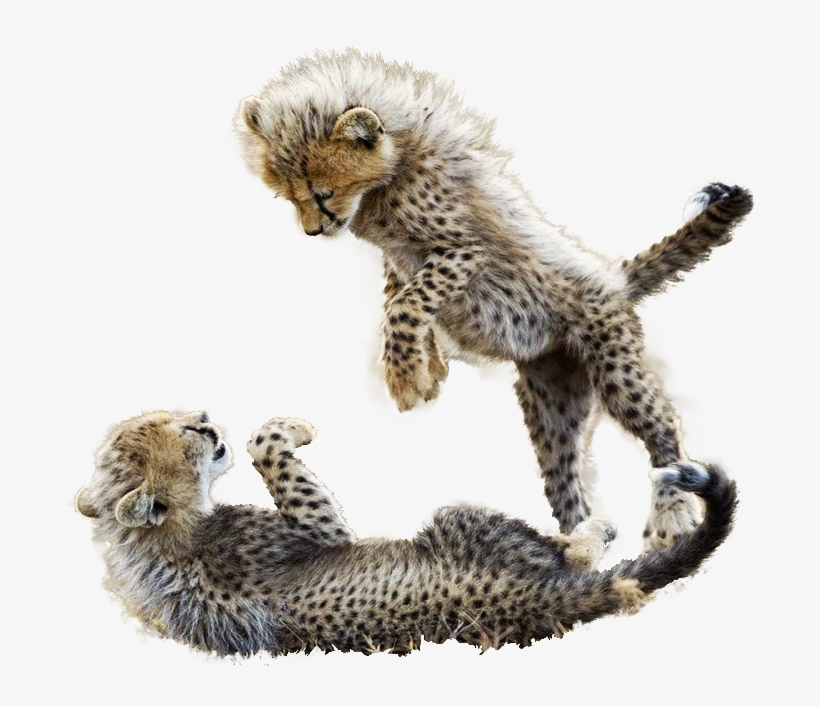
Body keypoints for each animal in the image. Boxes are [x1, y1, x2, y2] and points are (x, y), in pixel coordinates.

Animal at [75, 410, 737, 657]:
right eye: (186, 432)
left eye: (176, 419)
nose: (207, 420)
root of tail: (528, 605)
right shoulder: (324, 532)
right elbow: (271, 451)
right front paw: (293, 428)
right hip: (460, 518)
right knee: (573, 556)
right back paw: (593, 524)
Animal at [235, 49, 753, 549]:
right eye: (286, 196)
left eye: (322, 192)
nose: (312, 231)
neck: (393, 168)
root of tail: (613, 277)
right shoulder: (402, 258)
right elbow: (399, 294)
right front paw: (427, 368)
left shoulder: (464, 249)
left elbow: (405, 304)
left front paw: (405, 379)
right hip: (555, 408)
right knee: (565, 483)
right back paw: (575, 541)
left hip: (614, 366)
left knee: (663, 429)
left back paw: (671, 516)